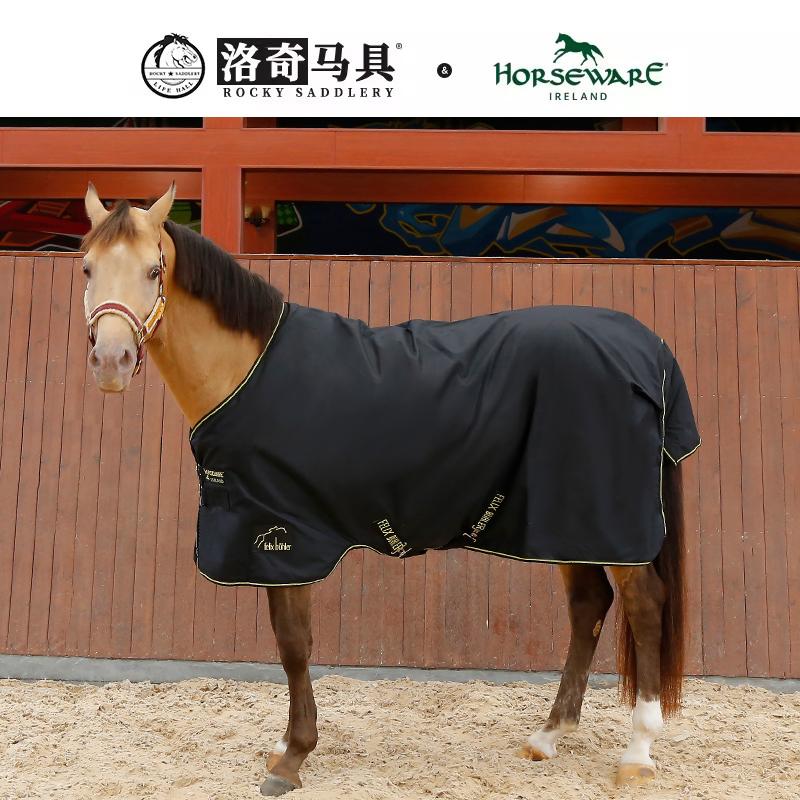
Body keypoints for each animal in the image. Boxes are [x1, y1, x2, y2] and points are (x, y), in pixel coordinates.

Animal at [81, 184, 698, 796]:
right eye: (87, 267)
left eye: (154, 269)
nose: (110, 362)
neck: (250, 372)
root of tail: (648, 348)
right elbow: (290, 644)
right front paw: (285, 746)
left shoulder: (283, 537)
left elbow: (293, 645)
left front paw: (292, 757)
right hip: (566, 522)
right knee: (588, 605)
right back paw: (548, 736)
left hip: (610, 521)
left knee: (645, 605)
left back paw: (638, 751)